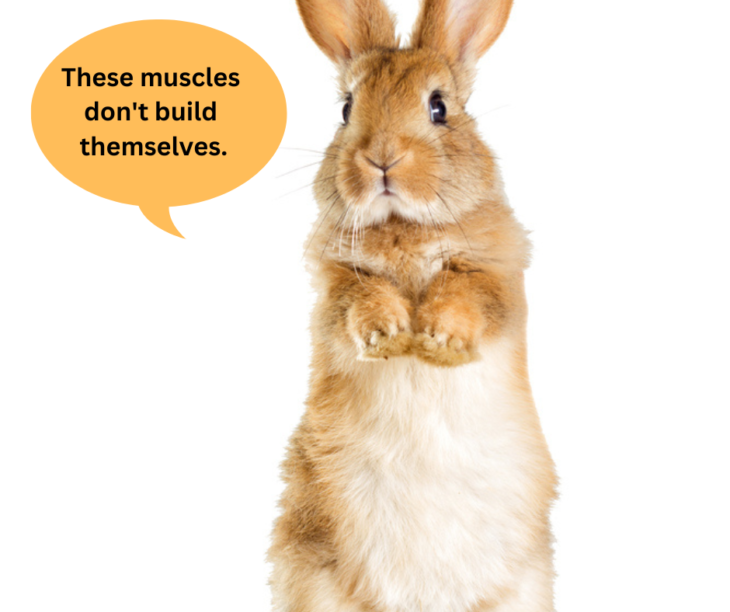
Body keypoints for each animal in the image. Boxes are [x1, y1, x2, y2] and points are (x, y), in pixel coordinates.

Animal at [268, 0, 557, 611]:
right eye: (346, 109)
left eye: (438, 106)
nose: (382, 158)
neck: (404, 225)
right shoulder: (337, 287)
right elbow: (361, 304)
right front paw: (389, 337)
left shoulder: (496, 278)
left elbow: (467, 298)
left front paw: (437, 343)